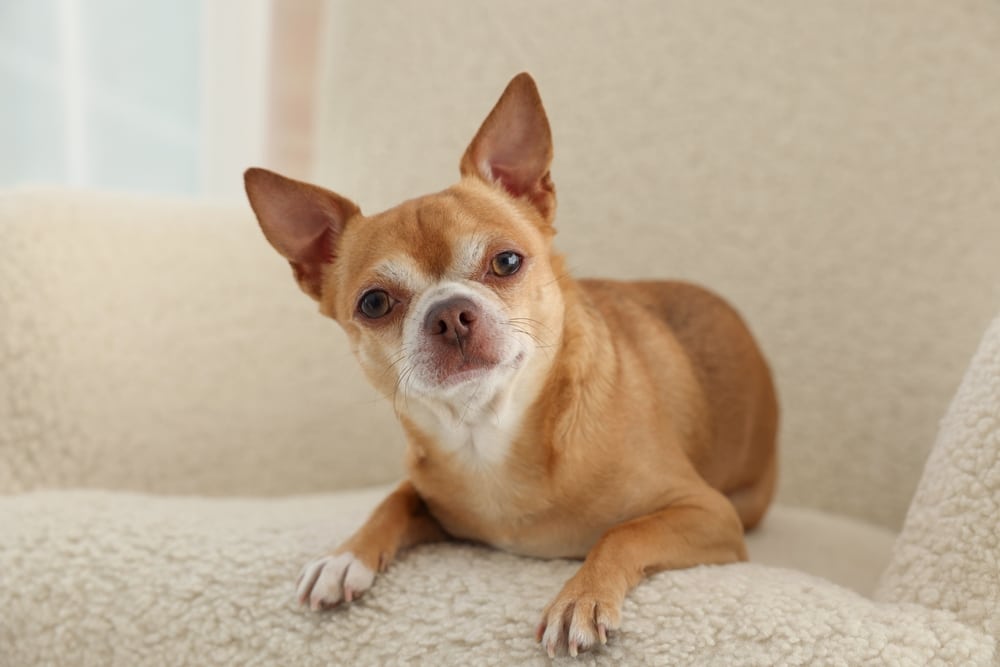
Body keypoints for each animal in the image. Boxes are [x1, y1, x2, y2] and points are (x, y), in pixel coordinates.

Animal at [244, 72, 780, 656]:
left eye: (506, 262)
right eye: (375, 303)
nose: (450, 314)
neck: (487, 432)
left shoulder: (707, 512)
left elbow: (624, 531)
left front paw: (580, 598)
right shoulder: (434, 501)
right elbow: (393, 500)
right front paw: (345, 556)